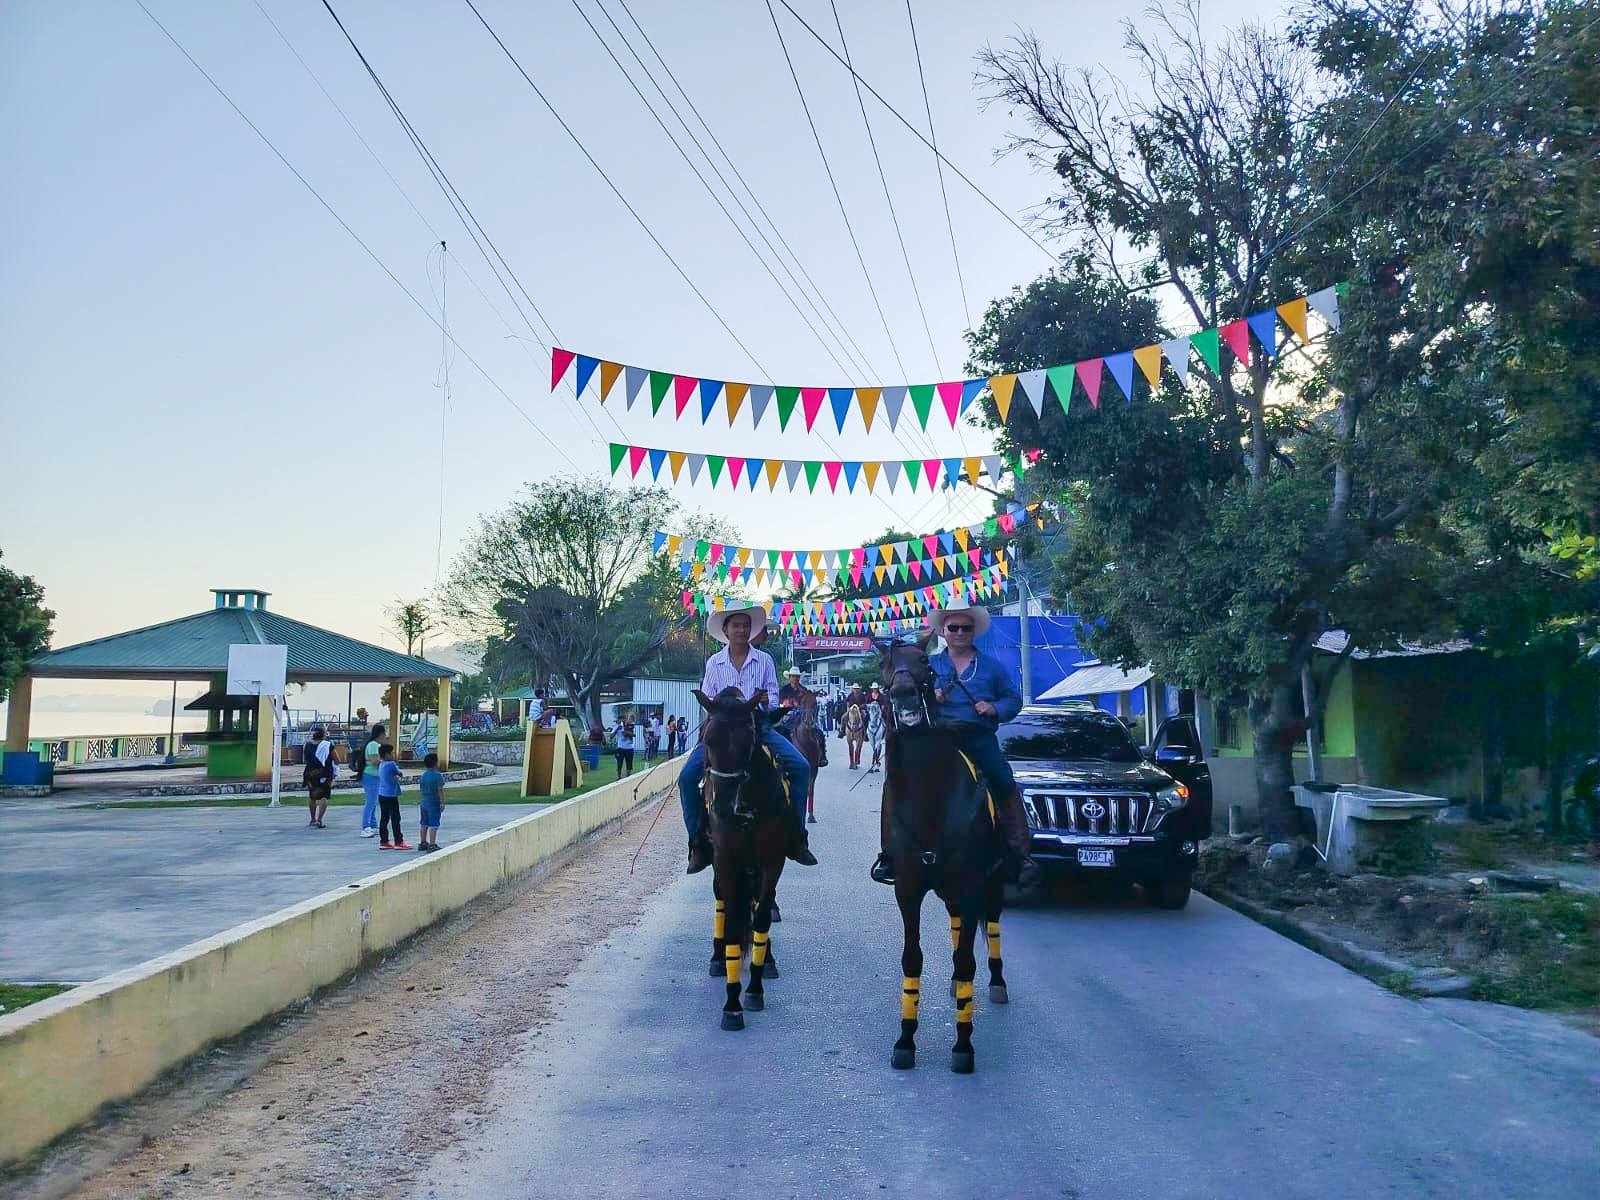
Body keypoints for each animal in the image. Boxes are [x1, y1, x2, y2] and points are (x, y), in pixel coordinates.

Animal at [693, 687, 788, 1031]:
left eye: (748, 740)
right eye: (708, 739)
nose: (721, 806)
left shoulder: (772, 861)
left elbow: (760, 916)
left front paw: (755, 988)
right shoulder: (726, 860)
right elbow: (733, 920)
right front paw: (732, 1005)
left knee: (760, 904)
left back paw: (767, 960)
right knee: (723, 900)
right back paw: (717, 958)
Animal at [878, 637, 1010, 1073]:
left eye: (924, 662)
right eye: (885, 665)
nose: (903, 693)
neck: (929, 797)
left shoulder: (972, 883)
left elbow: (968, 961)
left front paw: (963, 1046)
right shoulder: (906, 888)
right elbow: (912, 959)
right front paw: (905, 1040)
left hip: (993, 882)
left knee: (991, 924)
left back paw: (997, 983)